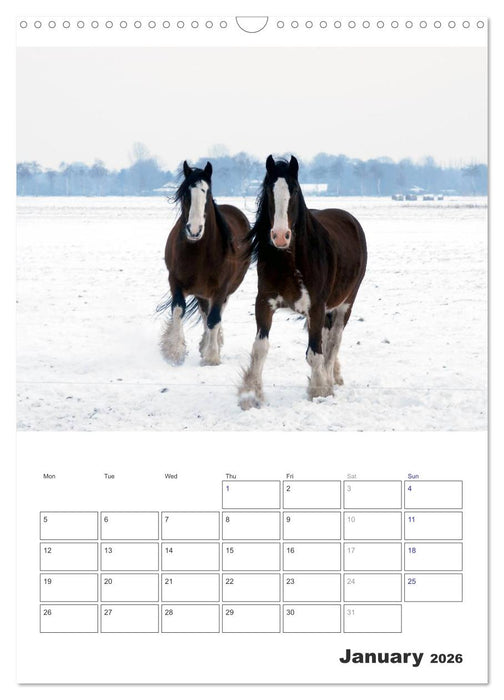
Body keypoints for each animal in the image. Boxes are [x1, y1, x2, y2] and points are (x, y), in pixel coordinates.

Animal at [159, 160, 251, 366]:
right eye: (186, 194)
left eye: (207, 193)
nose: (194, 230)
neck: (198, 251)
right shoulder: (175, 282)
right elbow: (178, 311)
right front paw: (174, 352)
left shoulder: (221, 288)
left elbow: (214, 319)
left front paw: (211, 356)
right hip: (202, 292)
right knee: (203, 313)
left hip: (226, 289)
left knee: (215, 314)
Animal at [238, 155, 367, 409]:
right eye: (268, 189)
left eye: (295, 190)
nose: (280, 236)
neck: (289, 260)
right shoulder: (264, 303)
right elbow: (260, 348)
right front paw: (250, 395)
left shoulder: (316, 307)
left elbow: (315, 353)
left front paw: (320, 391)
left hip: (345, 304)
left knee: (334, 342)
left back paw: (330, 378)